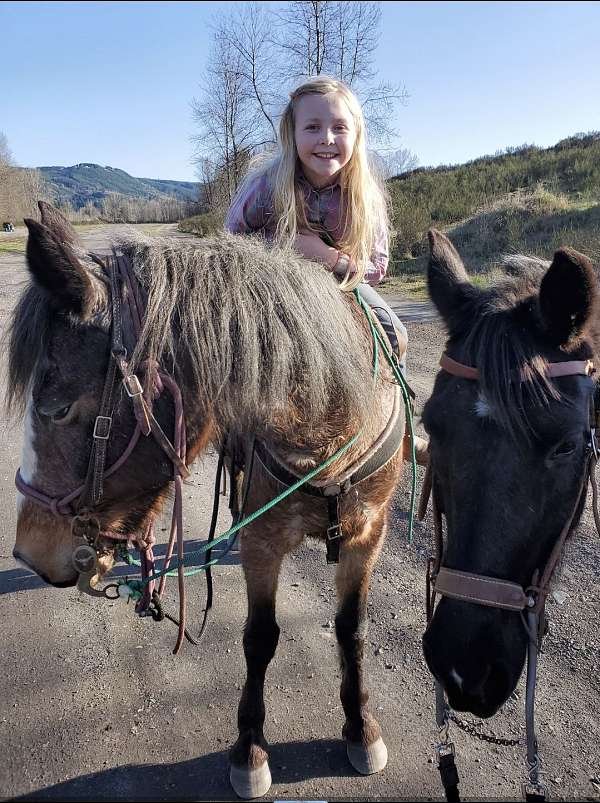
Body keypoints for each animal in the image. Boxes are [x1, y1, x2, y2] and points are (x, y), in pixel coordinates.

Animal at [7, 202, 407, 799]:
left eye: (56, 409)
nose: (29, 553)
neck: (329, 427)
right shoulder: (264, 541)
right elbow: (260, 638)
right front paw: (251, 748)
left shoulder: (368, 534)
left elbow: (351, 629)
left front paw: (361, 726)